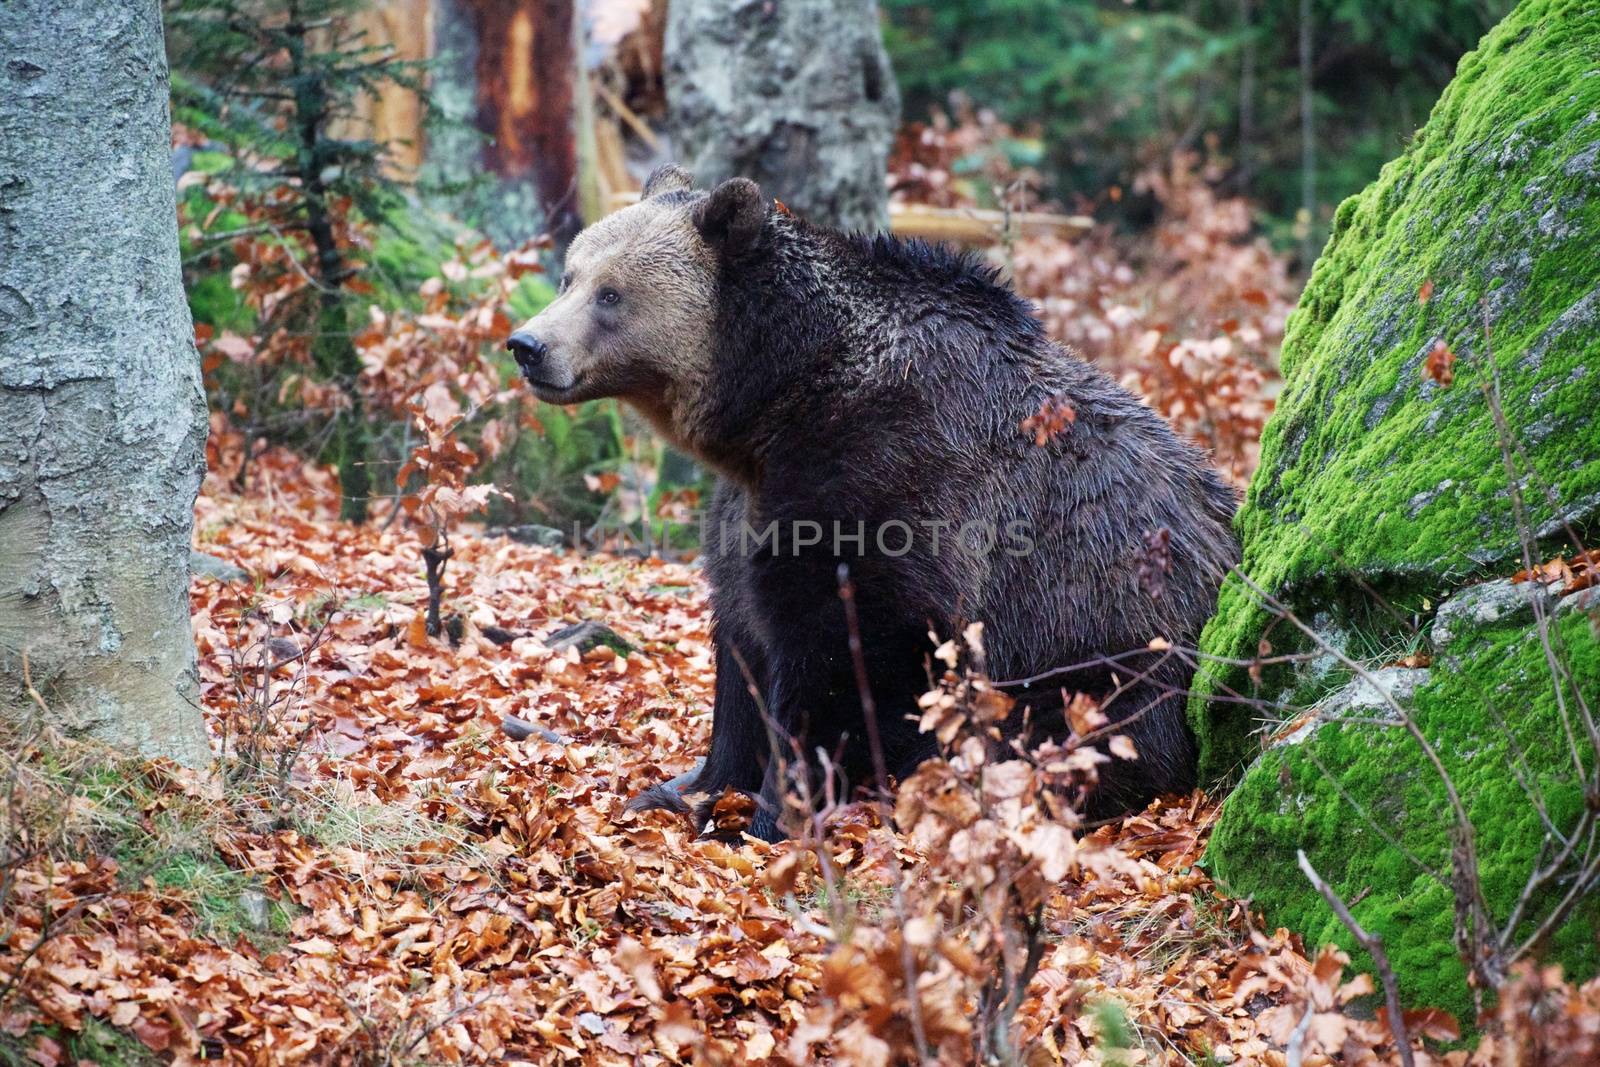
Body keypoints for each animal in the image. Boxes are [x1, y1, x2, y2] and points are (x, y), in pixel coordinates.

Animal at [508, 164, 1235, 844]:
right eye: (570, 275)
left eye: (611, 293)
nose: (527, 345)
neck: (780, 400)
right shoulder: (746, 507)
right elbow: (740, 644)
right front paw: (683, 788)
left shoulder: (888, 475)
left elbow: (845, 654)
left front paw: (770, 816)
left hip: (1101, 646)